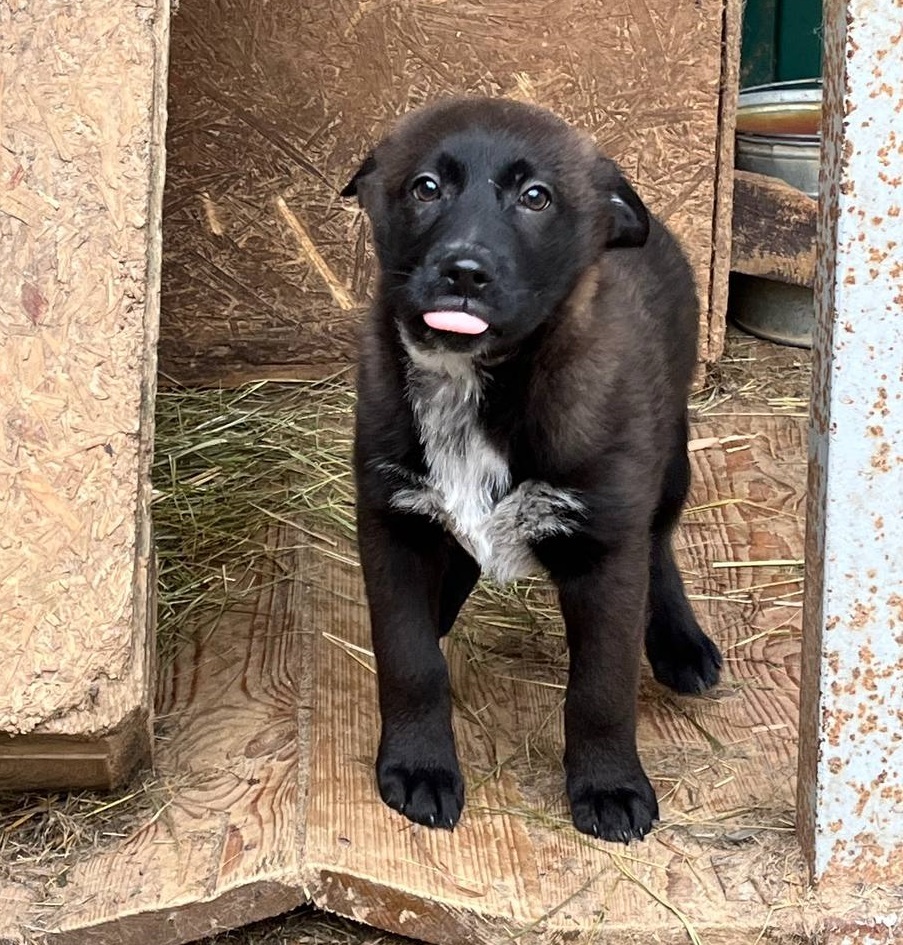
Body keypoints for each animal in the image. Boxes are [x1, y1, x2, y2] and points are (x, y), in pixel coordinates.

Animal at [342, 99, 724, 844]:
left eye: (536, 198)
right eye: (426, 188)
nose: (463, 272)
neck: (473, 384)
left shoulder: (605, 547)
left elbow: (600, 688)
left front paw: (608, 785)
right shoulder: (392, 520)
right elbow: (410, 660)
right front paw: (418, 766)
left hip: (668, 457)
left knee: (658, 543)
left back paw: (680, 641)